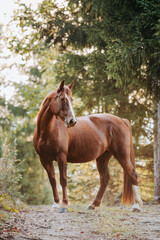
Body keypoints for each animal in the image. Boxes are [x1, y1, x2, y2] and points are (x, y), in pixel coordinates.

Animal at [33, 81, 142, 214]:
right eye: (63, 99)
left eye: (71, 99)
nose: (72, 121)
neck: (47, 131)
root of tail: (121, 120)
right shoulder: (44, 159)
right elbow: (53, 180)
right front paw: (55, 205)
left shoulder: (61, 157)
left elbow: (63, 180)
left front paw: (64, 205)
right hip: (102, 157)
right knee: (105, 178)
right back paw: (93, 204)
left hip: (122, 155)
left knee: (132, 174)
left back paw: (136, 206)